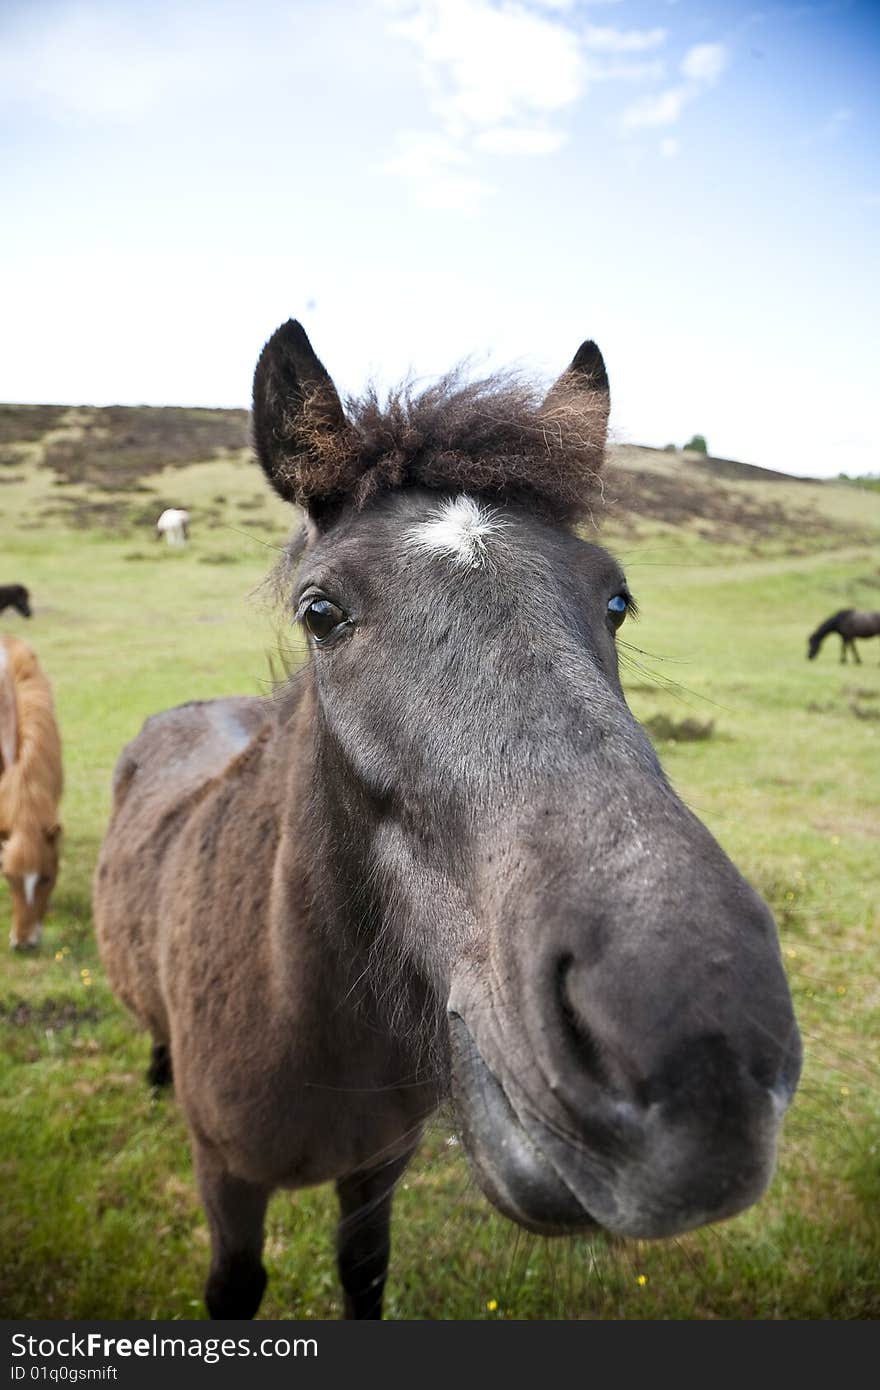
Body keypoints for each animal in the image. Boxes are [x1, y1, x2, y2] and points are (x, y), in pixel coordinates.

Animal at [92, 318, 800, 1323]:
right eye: (320, 610)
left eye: (616, 599)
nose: (703, 1052)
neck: (314, 1030)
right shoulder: (225, 1180)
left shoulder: (379, 1170)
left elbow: (364, 1273)